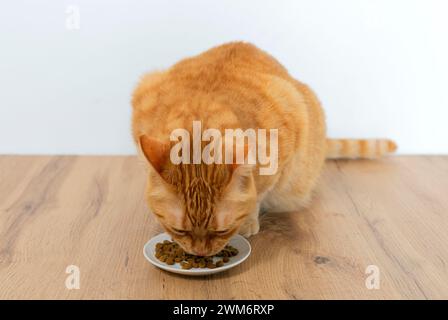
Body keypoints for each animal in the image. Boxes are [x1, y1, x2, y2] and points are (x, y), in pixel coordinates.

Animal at [130, 43, 396, 258]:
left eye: (222, 231)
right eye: (179, 230)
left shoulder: (289, 126)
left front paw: (248, 219)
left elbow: (258, 195)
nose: (200, 253)